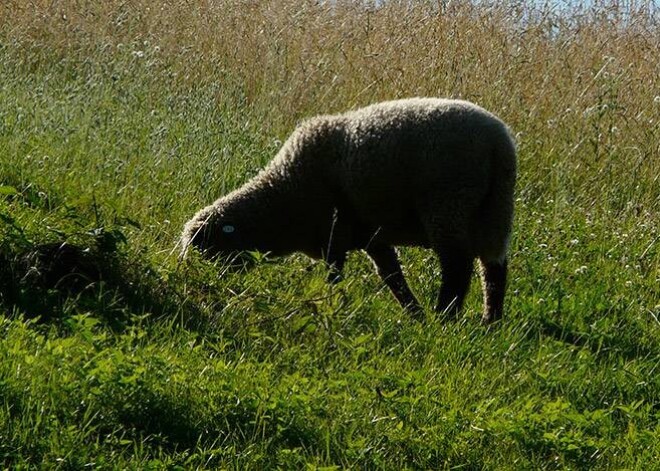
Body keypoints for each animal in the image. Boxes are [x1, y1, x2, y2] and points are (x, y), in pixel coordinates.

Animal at [180, 97, 516, 322]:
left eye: (207, 250)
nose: (211, 285)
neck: (282, 196)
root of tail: (499, 142)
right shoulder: (372, 236)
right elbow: (392, 276)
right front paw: (413, 314)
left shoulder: (335, 234)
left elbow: (336, 276)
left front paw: (331, 305)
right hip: (494, 209)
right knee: (493, 268)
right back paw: (490, 323)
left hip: (448, 203)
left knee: (457, 267)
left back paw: (444, 317)